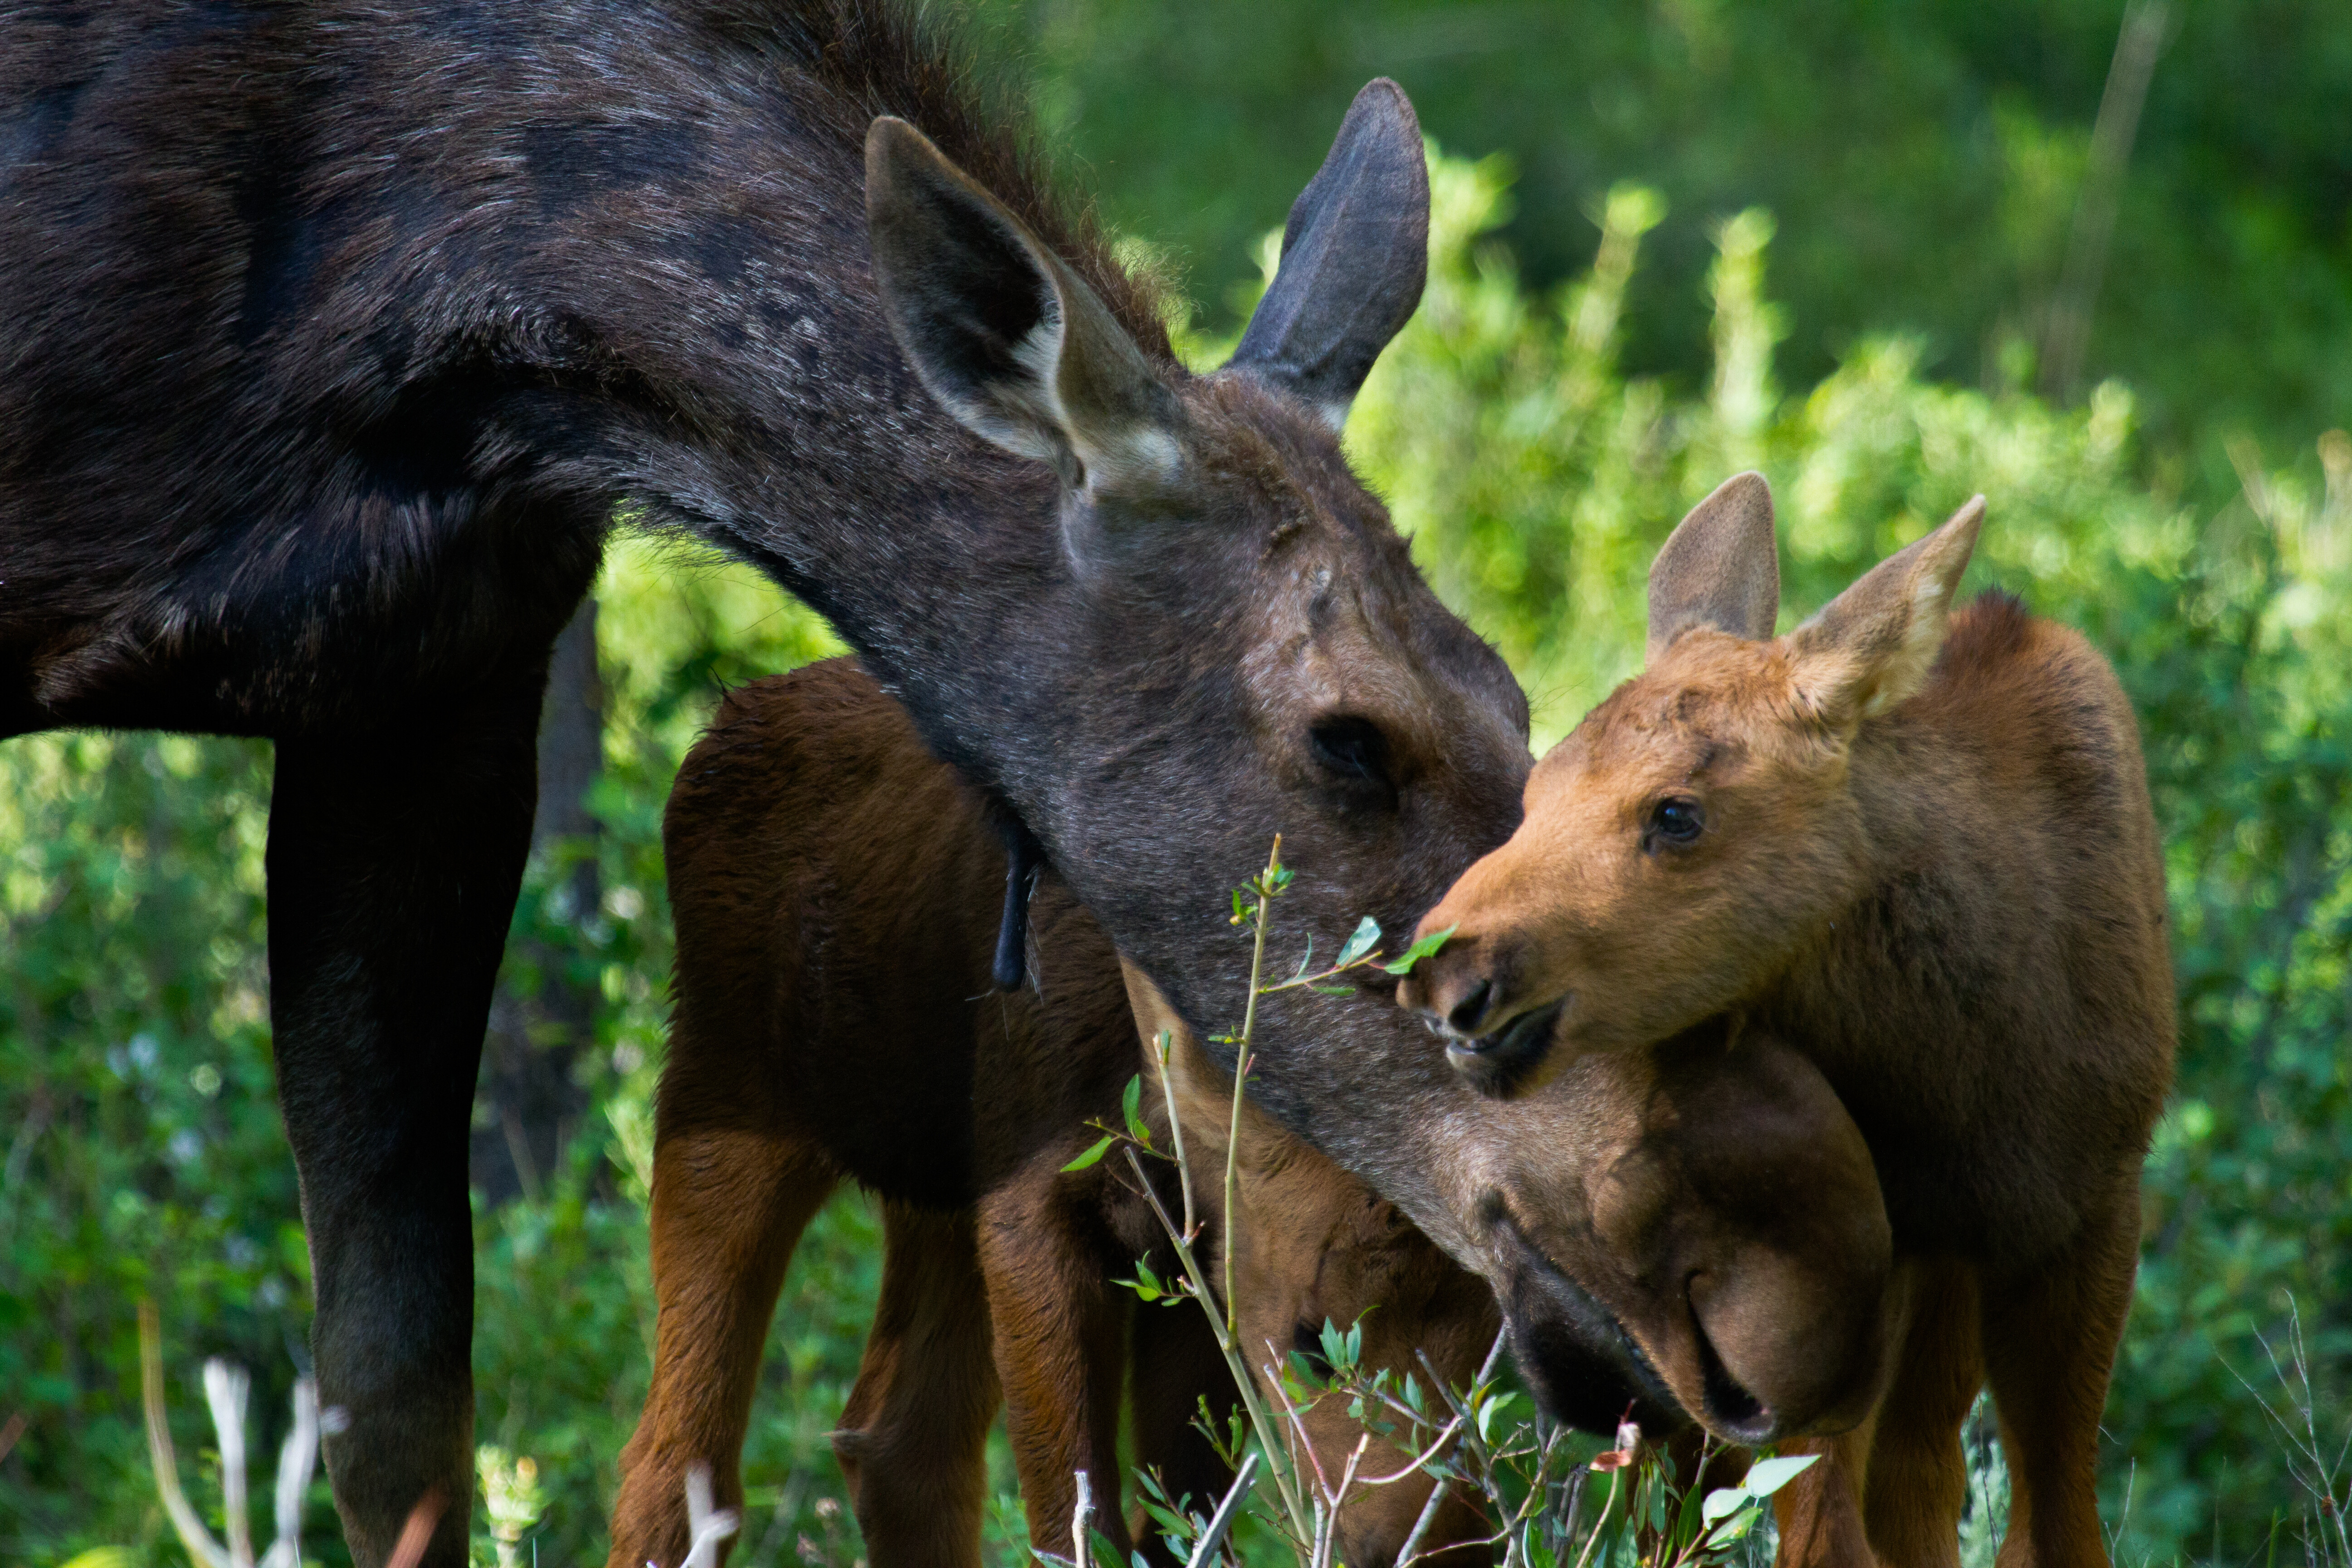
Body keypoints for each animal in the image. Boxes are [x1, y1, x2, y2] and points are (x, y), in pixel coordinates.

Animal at [617, 655, 1897, 1567]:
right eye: (1315, 1343)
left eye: (1477, 1352)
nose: (1398, 1546)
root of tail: (719, 730)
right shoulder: (1042, 1200)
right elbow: (1077, 1518)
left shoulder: (1177, 1267)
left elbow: (1173, 1517)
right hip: (724, 1099)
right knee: (672, 1460)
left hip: (925, 1184)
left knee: (894, 1440)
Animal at [1399, 473, 2177, 1568]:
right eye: (1535, 788)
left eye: (1677, 813)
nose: (1444, 970)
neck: (1962, 1086)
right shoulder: (1836, 1276)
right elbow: (1823, 1533)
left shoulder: (2092, 1211)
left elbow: (2053, 1530)